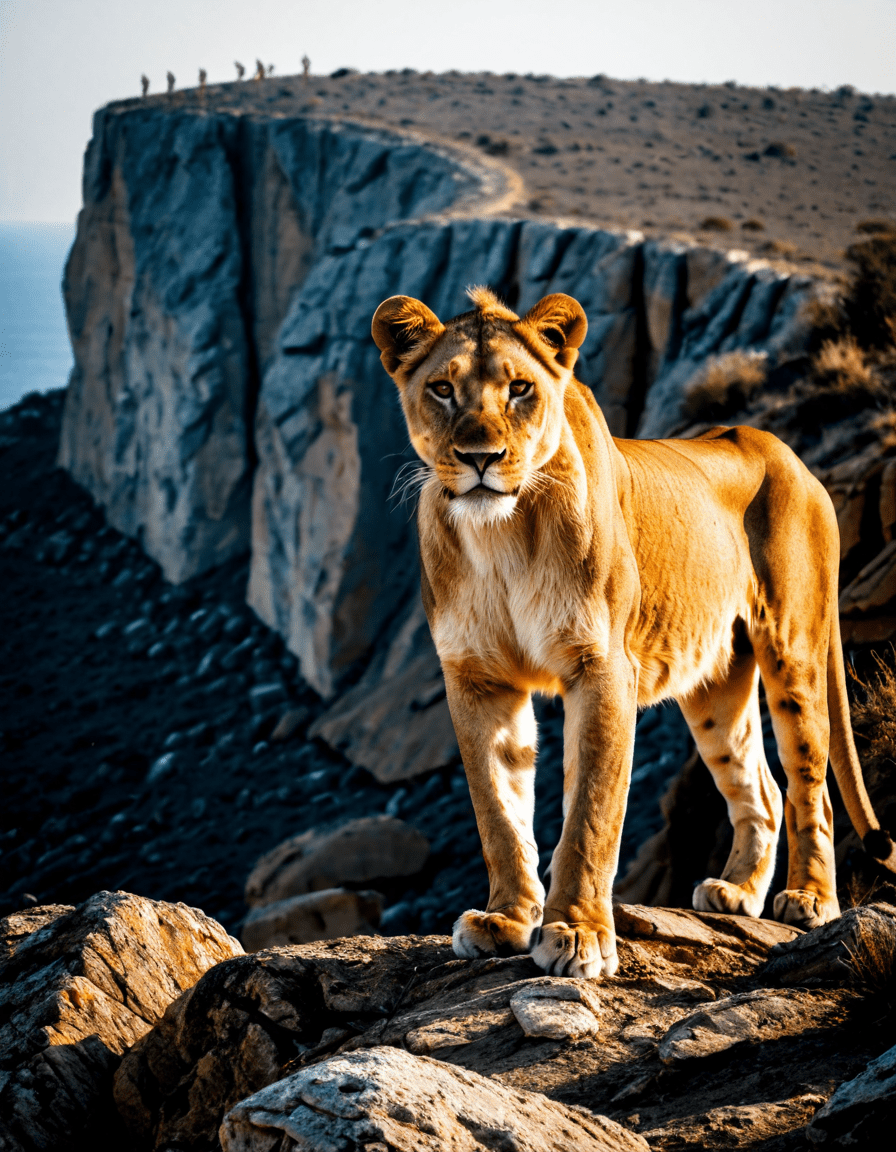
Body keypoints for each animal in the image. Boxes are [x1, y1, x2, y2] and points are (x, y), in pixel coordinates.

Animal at [371, 286, 896, 979]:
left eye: (519, 388)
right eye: (441, 389)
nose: (480, 458)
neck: (501, 535)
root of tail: (787, 454)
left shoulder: (602, 666)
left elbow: (591, 811)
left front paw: (577, 933)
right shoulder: (477, 678)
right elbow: (498, 809)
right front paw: (507, 920)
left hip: (795, 648)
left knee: (809, 781)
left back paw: (808, 899)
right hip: (716, 685)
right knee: (759, 785)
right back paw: (736, 894)